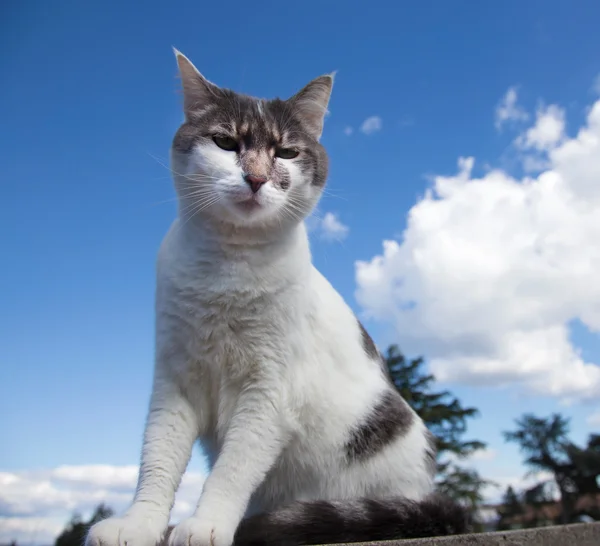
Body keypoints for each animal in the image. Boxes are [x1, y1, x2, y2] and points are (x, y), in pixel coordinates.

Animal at [85, 50, 468, 544]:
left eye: (286, 152)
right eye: (225, 142)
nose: (256, 177)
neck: (228, 267)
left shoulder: (270, 393)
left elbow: (232, 470)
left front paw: (206, 524)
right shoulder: (175, 382)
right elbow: (158, 459)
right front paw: (140, 524)